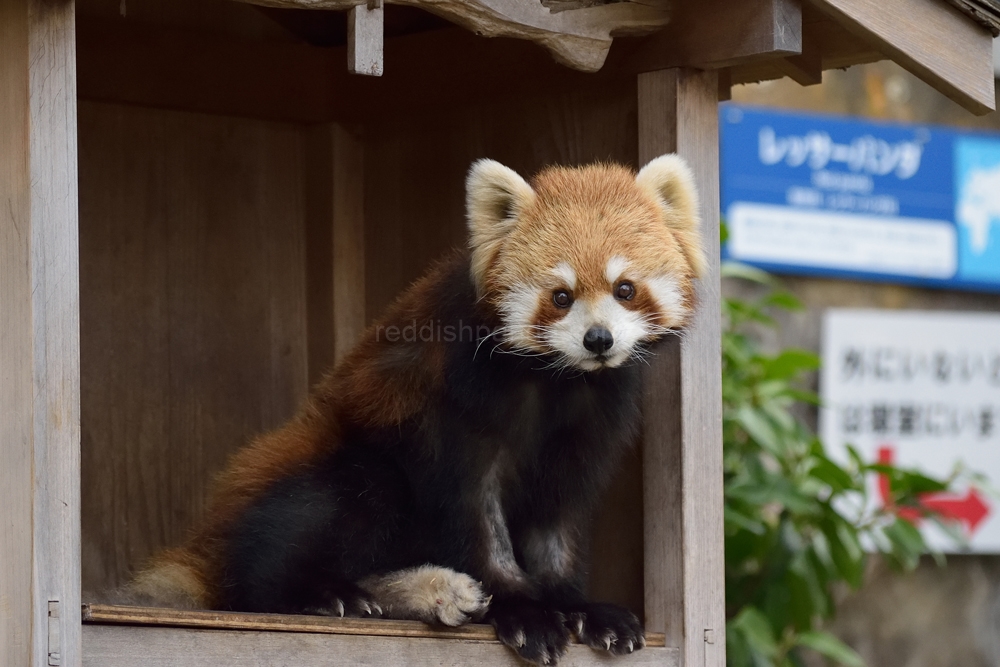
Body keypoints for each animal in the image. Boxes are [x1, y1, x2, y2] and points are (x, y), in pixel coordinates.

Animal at [129, 155, 708, 664]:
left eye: (625, 288)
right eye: (561, 296)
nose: (598, 339)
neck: (554, 381)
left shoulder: (588, 425)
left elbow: (557, 519)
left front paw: (577, 606)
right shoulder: (454, 409)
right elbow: (473, 512)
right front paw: (525, 611)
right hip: (336, 466)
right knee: (296, 535)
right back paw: (325, 593)